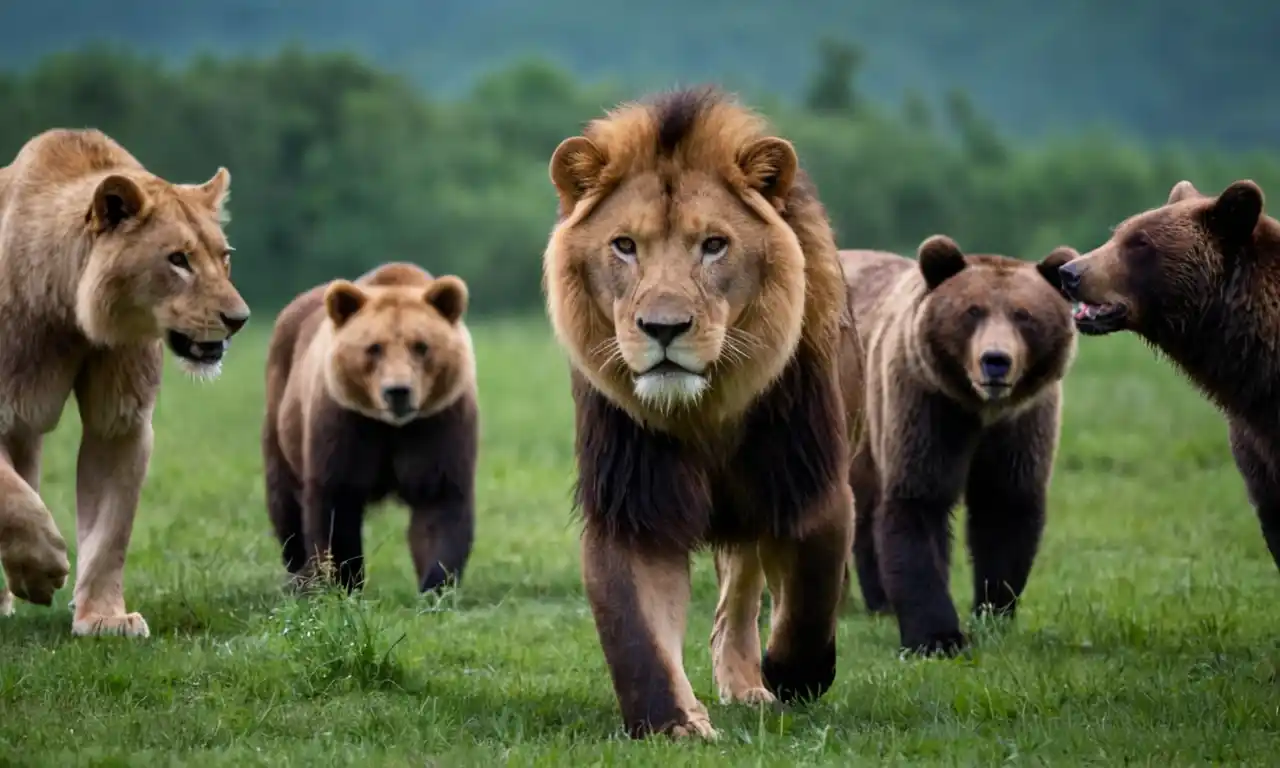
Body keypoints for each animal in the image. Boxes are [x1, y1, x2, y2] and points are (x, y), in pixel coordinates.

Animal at [0, 129, 249, 640]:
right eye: (178, 260)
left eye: (224, 258)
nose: (239, 320)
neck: (70, 317)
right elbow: (12, 499)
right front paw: (44, 568)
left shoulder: (121, 420)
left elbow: (111, 527)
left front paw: (104, 618)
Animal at [263, 261, 481, 591]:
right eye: (374, 347)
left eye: (421, 346)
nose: (398, 391)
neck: (391, 427)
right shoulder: (346, 422)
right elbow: (336, 503)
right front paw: (344, 582)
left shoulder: (438, 423)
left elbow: (440, 504)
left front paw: (435, 585)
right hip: (281, 410)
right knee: (284, 500)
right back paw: (300, 575)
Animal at [537, 87, 860, 742]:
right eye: (624, 246)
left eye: (714, 245)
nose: (663, 328)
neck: (704, 411)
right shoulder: (634, 503)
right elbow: (637, 634)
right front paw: (673, 725)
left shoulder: (812, 482)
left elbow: (811, 593)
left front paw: (793, 673)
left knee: (745, 591)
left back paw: (756, 683)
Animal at [839, 234, 1080, 652]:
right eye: (972, 311)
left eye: (1024, 315)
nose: (995, 360)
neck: (981, 409)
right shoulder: (927, 405)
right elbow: (919, 503)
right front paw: (937, 637)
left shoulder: (1021, 424)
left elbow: (1004, 509)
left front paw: (992, 613)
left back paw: (879, 601)